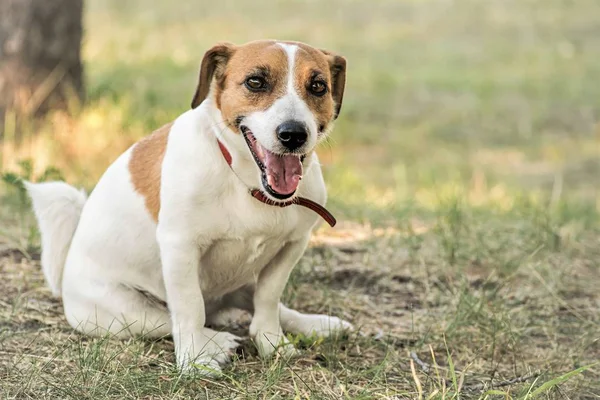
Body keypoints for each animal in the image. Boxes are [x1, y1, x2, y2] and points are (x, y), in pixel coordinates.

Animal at [25, 39, 352, 374]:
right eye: (255, 82)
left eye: (318, 86)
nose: (294, 134)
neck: (249, 186)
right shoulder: (181, 248)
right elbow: (190, 307)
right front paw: (194, 361)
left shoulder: (291, 247)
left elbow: (269, 298)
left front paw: (272, 343)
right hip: (126, 312)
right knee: (172, 321)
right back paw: (217, 341)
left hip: (242, 281)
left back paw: (316, 324)